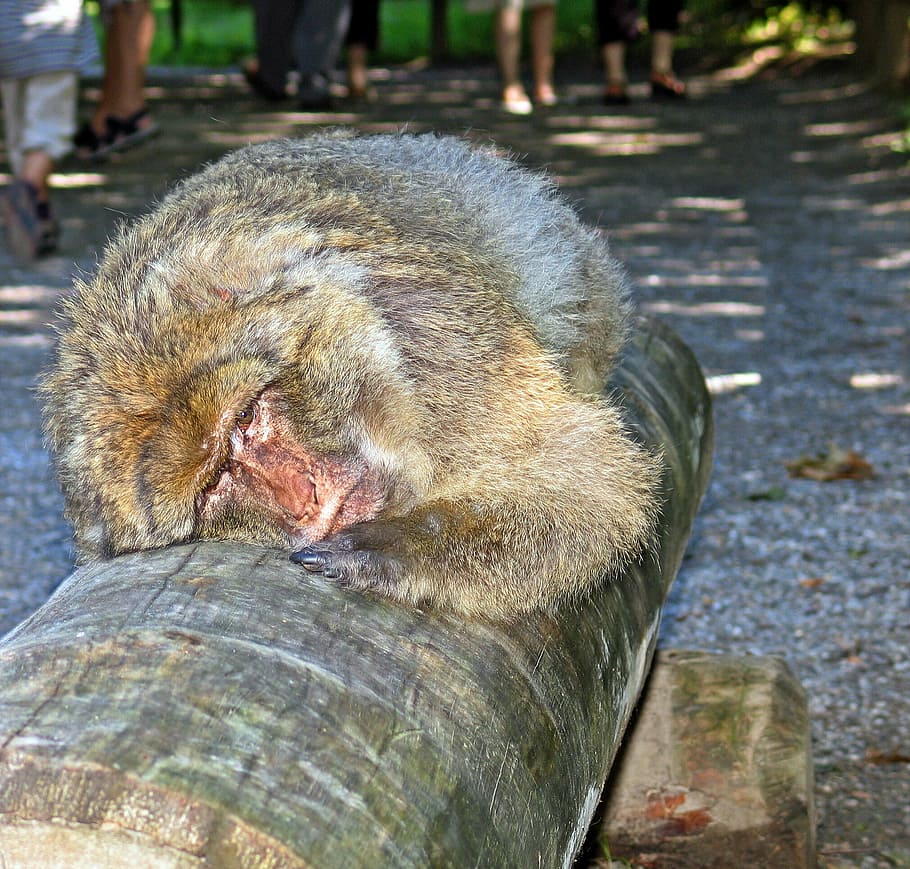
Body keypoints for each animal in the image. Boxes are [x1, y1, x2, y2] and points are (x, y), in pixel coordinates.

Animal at [41, 132, 661, 620]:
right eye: (214, 484)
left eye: (246, 416)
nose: (303, 497)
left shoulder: (436, 334)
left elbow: (584, 469)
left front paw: (400, 548)